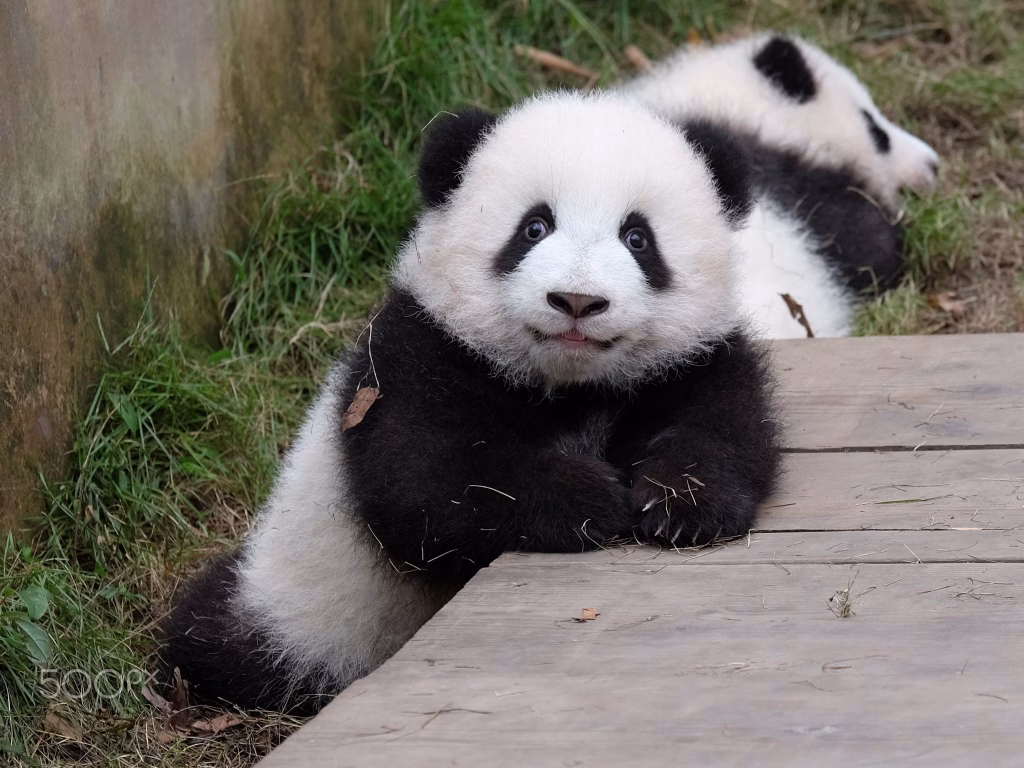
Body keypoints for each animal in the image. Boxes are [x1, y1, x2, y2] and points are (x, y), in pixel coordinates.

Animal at [160, 91, 781, 713]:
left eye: (638, 238)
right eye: (534, 227)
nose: (577, 301)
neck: (570, 385)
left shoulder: (692, 361)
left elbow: (725, 427)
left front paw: (681, 502)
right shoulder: (418, 354)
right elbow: (424, 484)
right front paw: (586, 496)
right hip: (298, 600)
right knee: (219, 639)